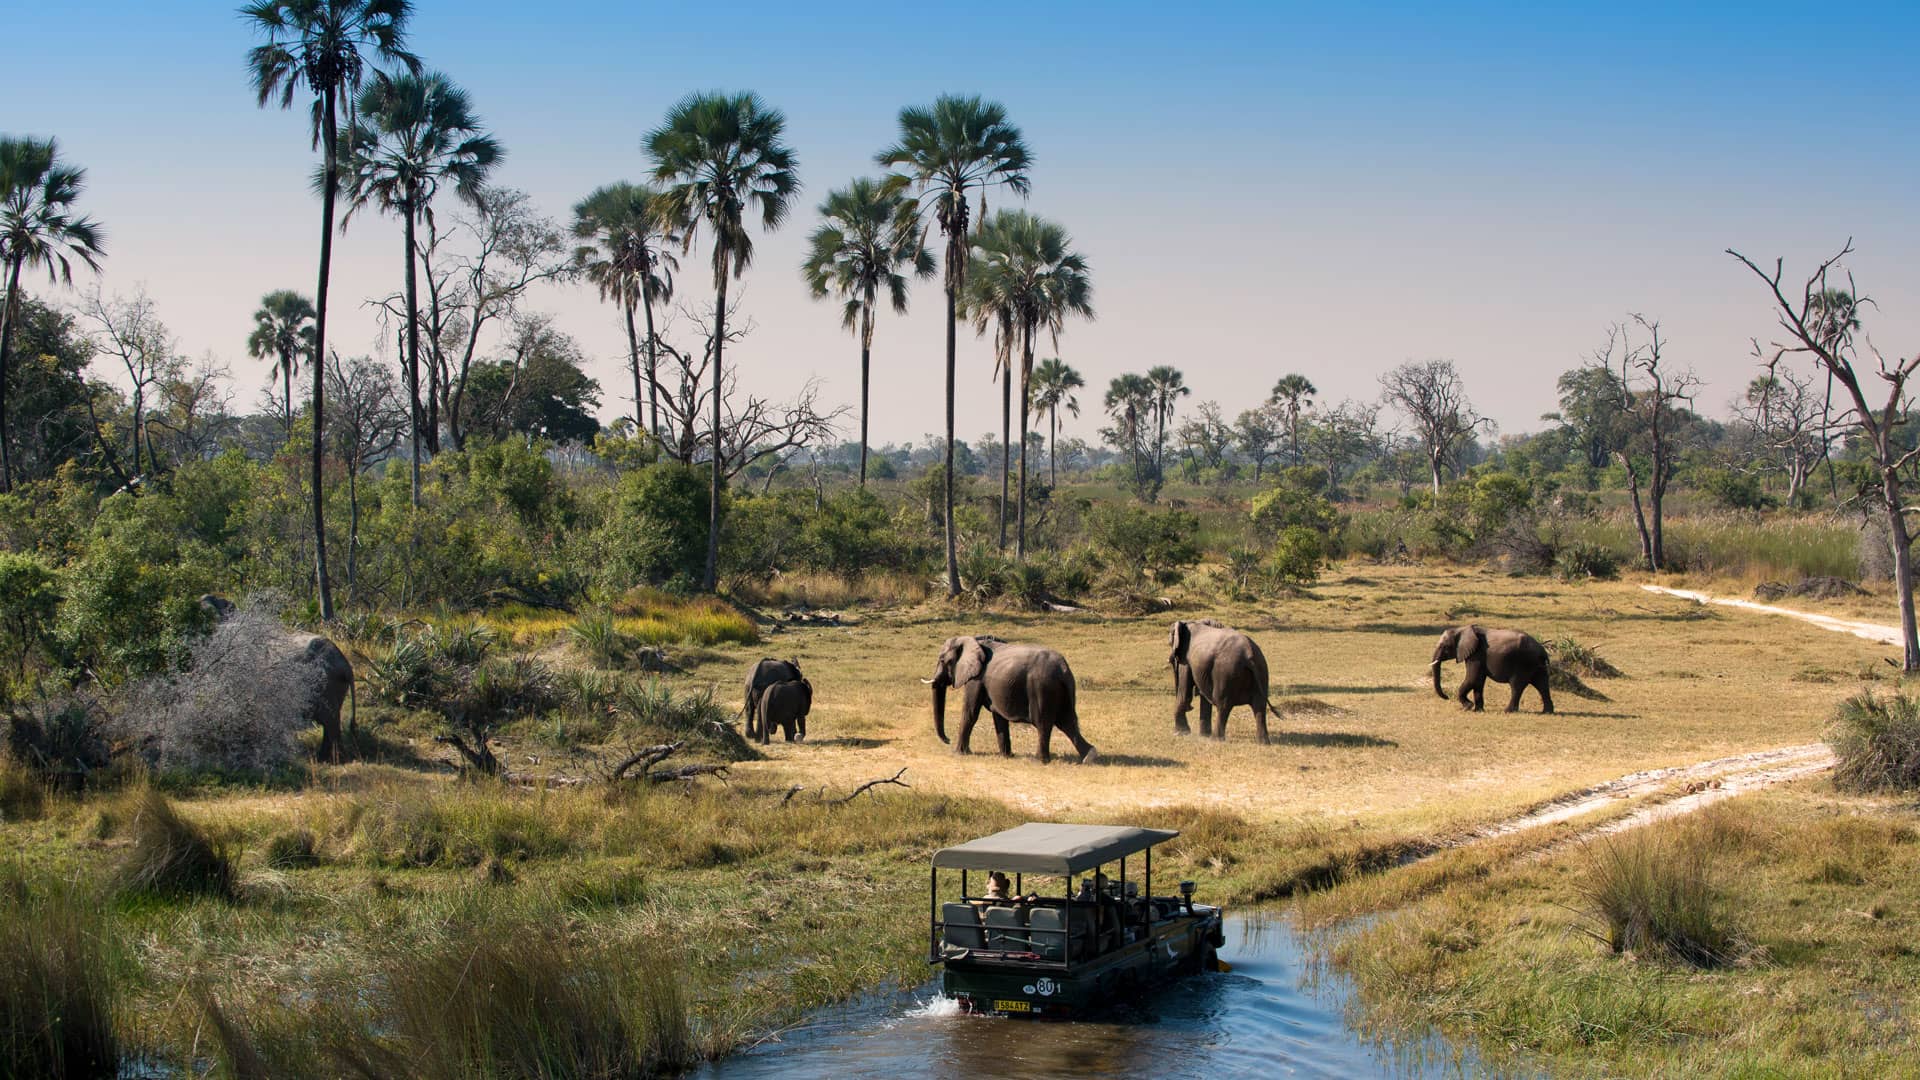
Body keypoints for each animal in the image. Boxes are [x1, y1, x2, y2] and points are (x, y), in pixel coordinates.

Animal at [925, 635, 1096, 764]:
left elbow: (970, 712)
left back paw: (1038, 761)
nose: (947, 739)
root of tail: (1063, 668)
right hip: (1063, 690)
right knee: (1067, 723)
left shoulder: (976, 679)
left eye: (942, 660)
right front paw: (1006, 756)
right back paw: (1090, 757)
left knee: (1044, 723)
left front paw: (958, 753)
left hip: (1042, 688)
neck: (973, 640)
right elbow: (998, 717)